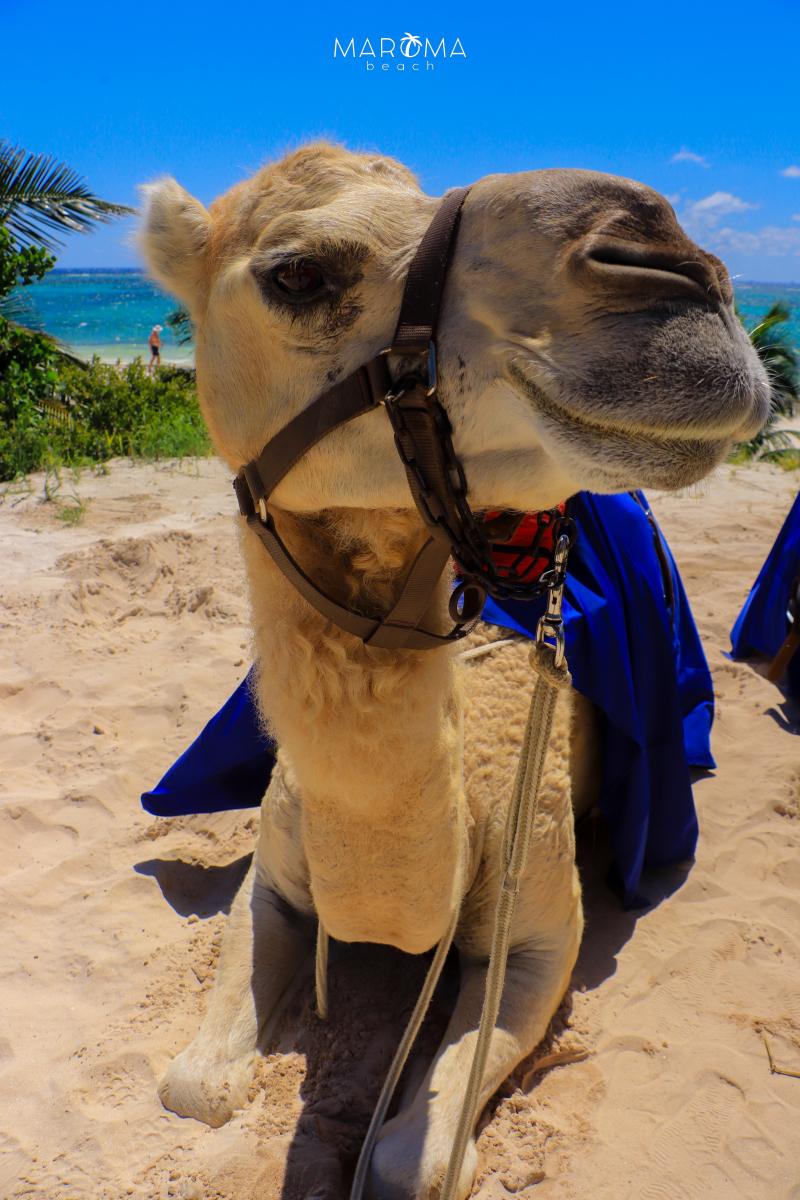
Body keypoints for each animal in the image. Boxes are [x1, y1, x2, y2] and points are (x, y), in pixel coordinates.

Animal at [140, 143, 768, 1199]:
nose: (673, 264)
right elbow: (195, 1087)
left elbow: (412, 1159)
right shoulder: (269, 872)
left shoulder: (542, 932)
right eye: (298, 275)